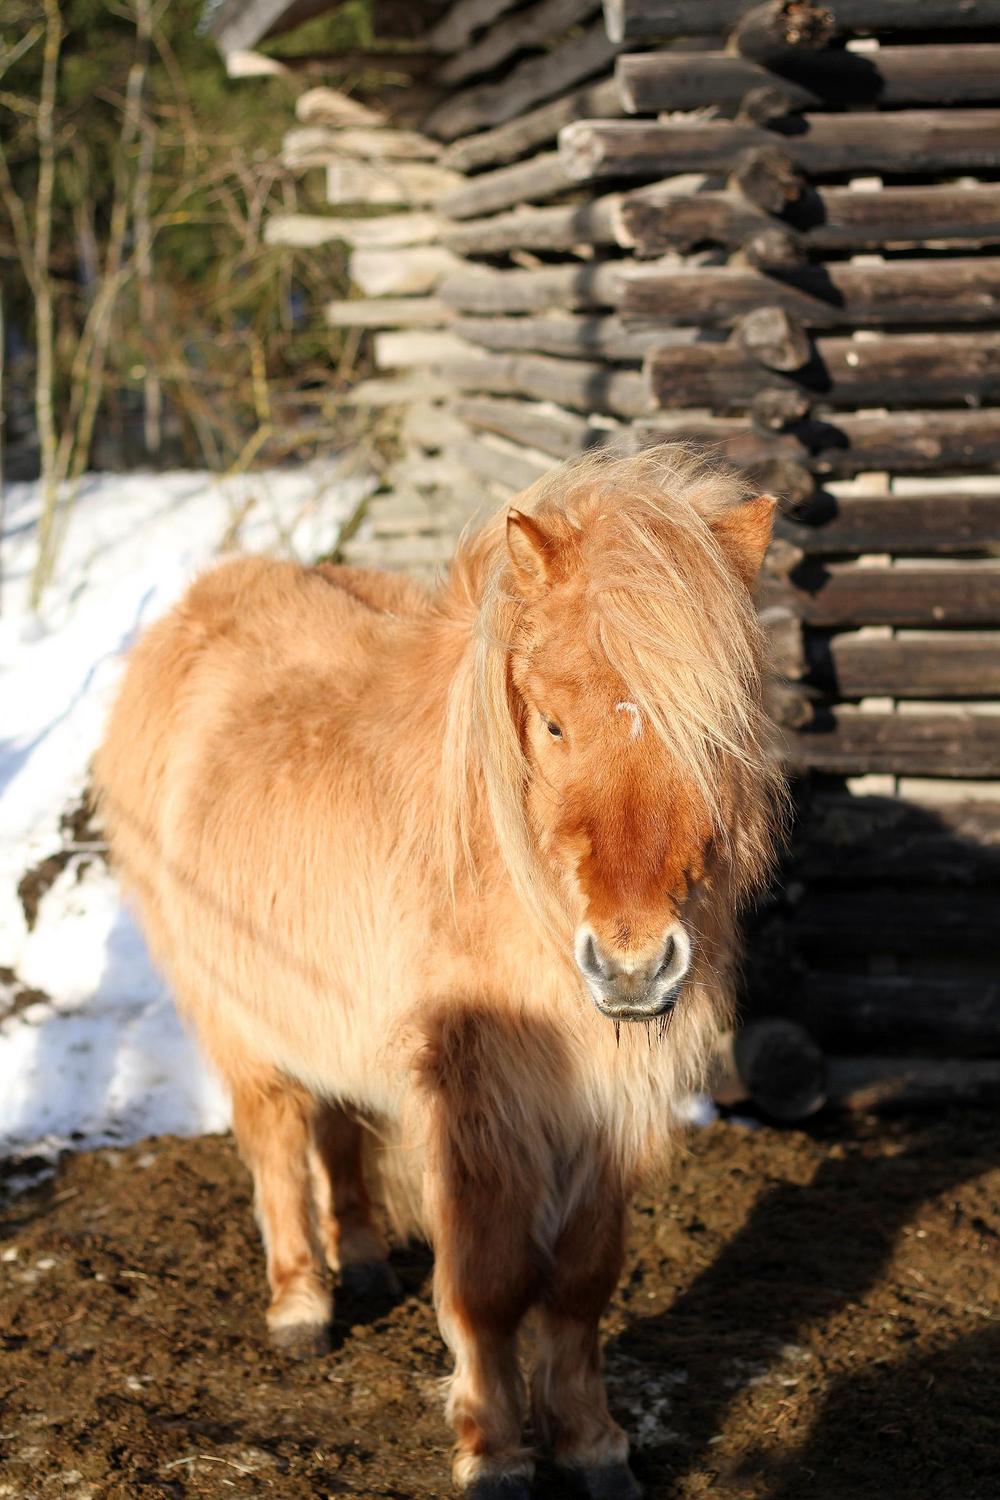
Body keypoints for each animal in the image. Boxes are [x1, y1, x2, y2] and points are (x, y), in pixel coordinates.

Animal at [94, 447, 784, 1499]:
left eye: (715, 730)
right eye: (552, 724)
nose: (631, 967)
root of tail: (195, 607)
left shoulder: (610, 1100)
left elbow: (581, 1283)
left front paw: (593, 1447)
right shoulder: (478, 1103)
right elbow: (490, 1286)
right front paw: (494, 1452)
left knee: (338, 1127)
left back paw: (365, 1261)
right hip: (235, 1011)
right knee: (277, 1139)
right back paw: (300, 1307)